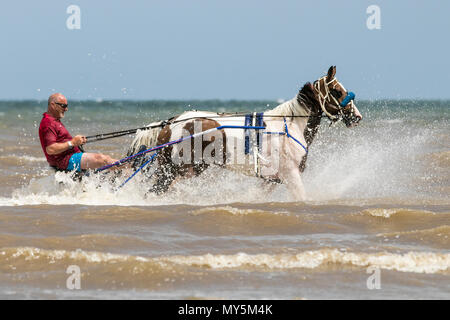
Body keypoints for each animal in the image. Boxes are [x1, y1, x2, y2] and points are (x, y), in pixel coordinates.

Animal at [125, 65, 362, 200]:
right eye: (337, 91)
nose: (356, 116)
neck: (290, 125)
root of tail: (171, 123)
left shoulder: (272, 180)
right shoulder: (290, 174)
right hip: (175, 170)